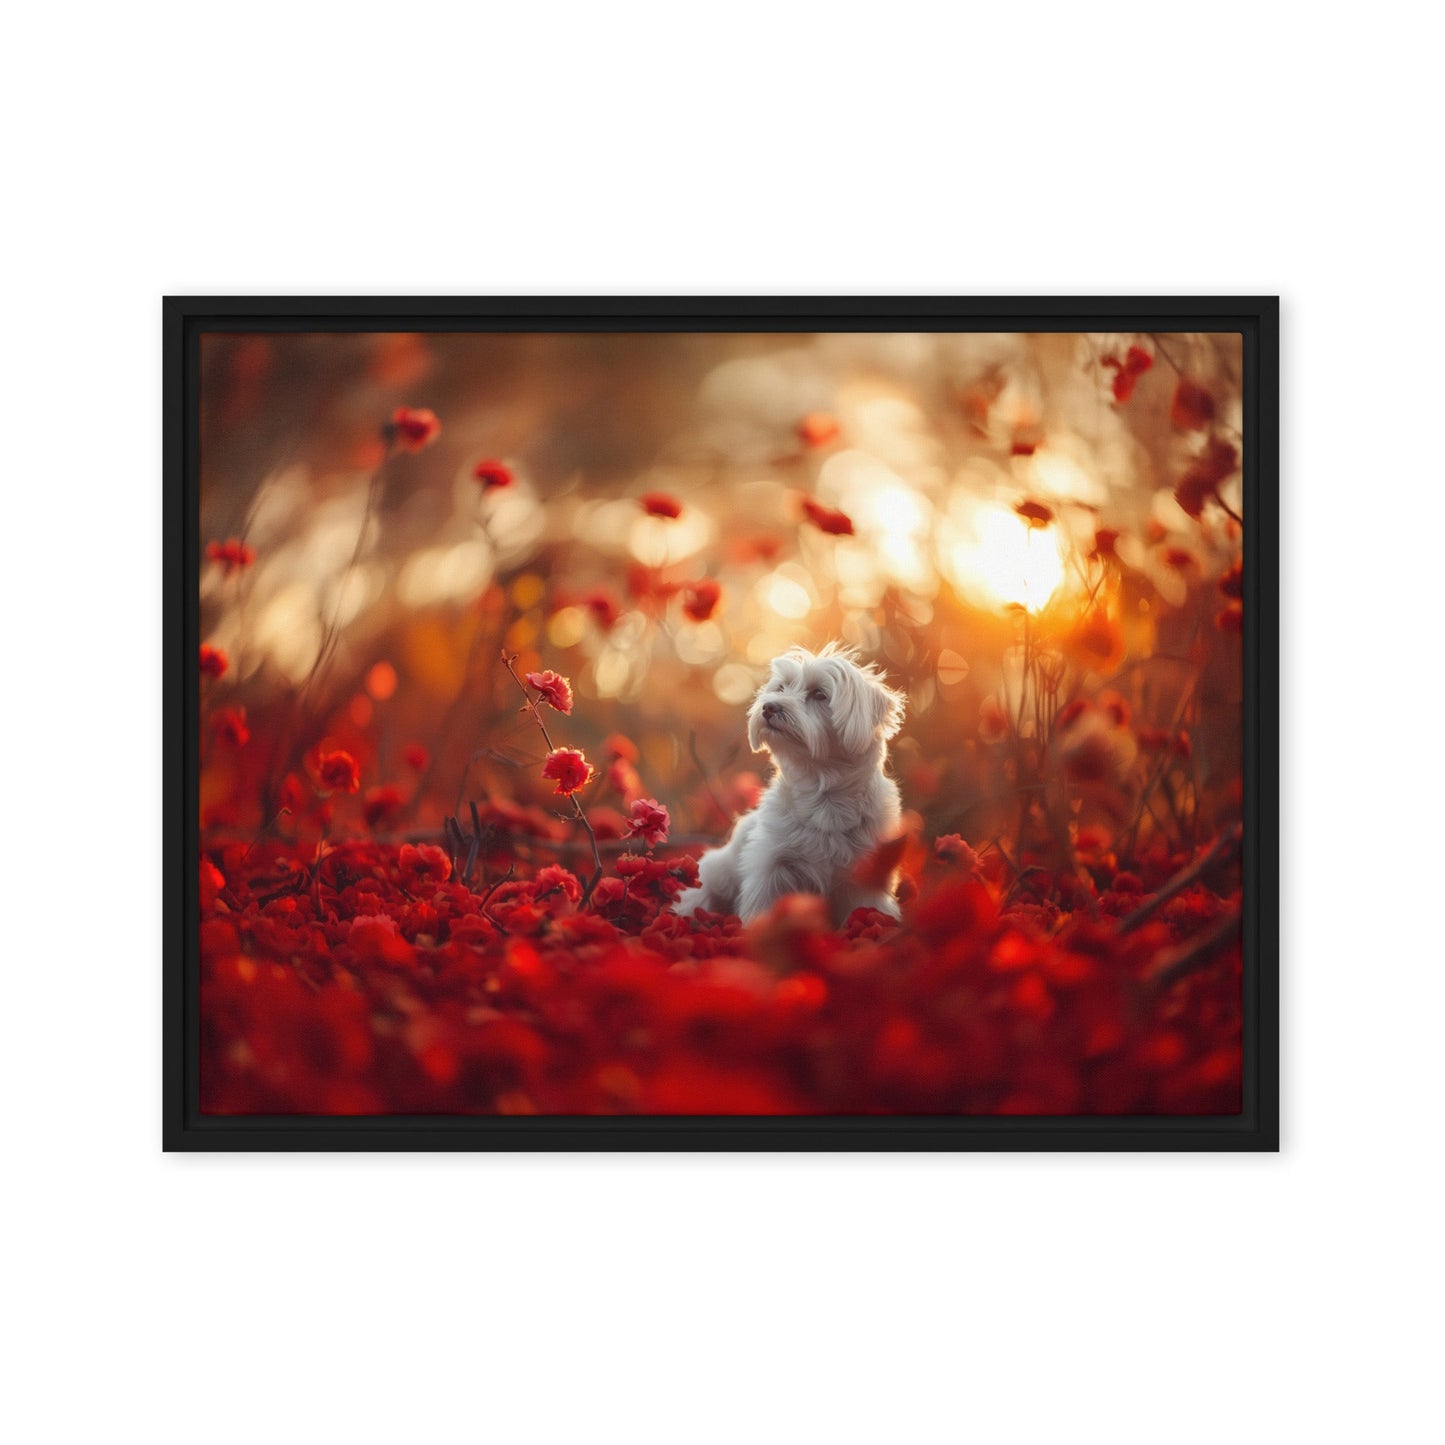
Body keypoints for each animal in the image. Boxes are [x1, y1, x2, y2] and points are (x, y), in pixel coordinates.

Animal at [673, 647, 901, 924]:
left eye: (819, 694)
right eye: (781, 687)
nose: (769, 706)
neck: (823, 798)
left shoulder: (866, 879)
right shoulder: (770, 867)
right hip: (716, 876)